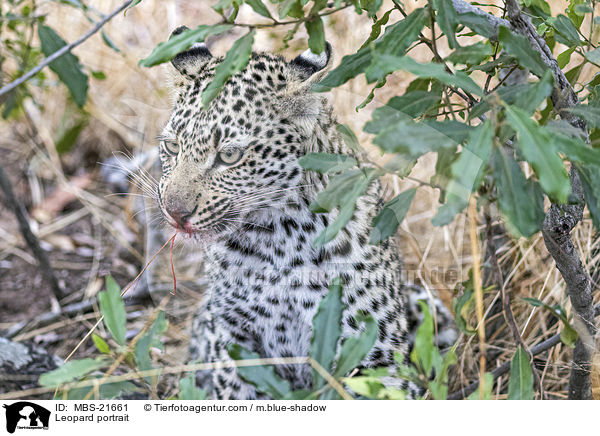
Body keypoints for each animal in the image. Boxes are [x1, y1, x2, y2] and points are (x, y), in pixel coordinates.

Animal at [155, 27, 454, 400]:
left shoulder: (377, 353)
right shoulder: (234, 342)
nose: (175, 212)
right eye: (172, 147)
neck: (278, 237)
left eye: (230, 156)